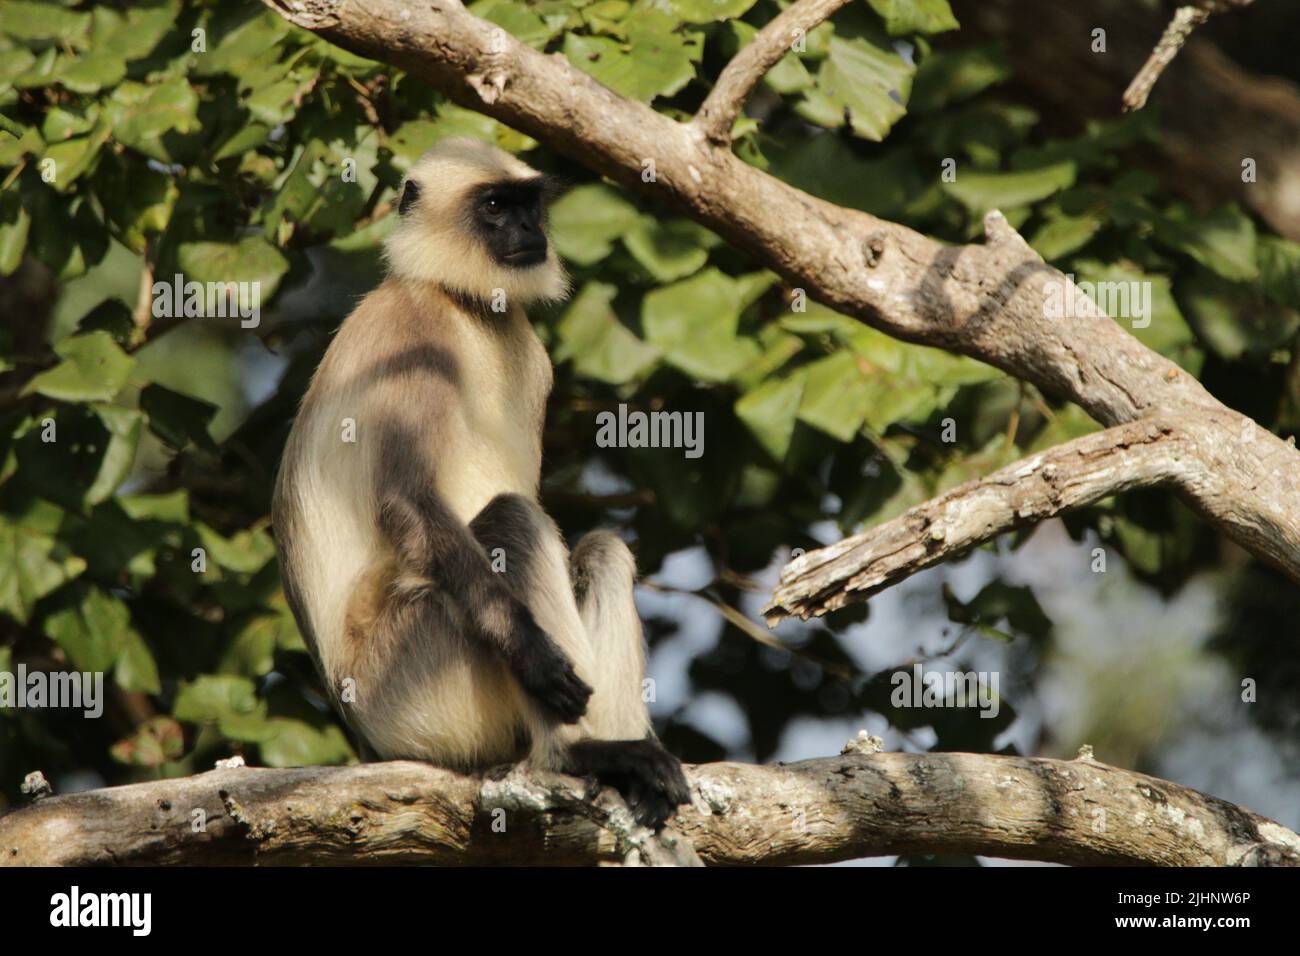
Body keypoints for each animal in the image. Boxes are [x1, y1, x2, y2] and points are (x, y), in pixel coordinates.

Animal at [274, 136, 691, 832]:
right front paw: (534, 654)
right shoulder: (411, 337)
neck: (460, 301)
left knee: (598, 549)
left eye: (527, 204)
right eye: (494, 207)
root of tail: (363, 732)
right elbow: (410, 502)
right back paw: (576, 755)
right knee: (510, 521)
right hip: (411, 682)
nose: (528, 231)